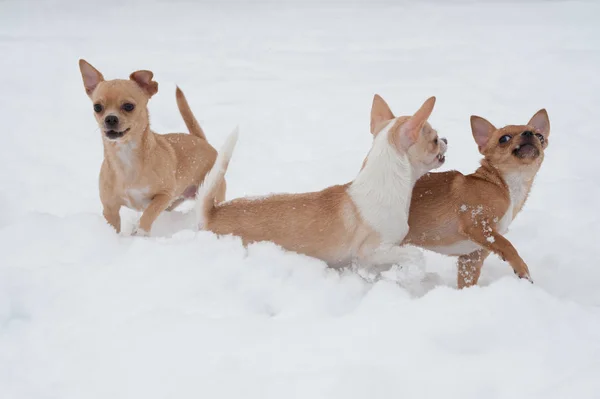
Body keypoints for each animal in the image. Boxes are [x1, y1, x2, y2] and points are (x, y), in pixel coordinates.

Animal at [77, 60, 223, 236]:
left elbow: (148, 214)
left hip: (208, 194)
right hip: (173, 203)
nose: (110, 118)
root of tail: (200, 140)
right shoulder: (110, 208)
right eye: (97, 107)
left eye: (128, 106)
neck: (126, 156)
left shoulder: (163, 195)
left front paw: (140, 233)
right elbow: (114, 226)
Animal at [406, 109, 552, 290]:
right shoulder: (478, 225)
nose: (529, 133)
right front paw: (522, 269)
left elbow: (467, 283)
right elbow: (508, 245)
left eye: (539, 136)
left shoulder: (471, 257)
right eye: (504, 138)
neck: (506, 186)